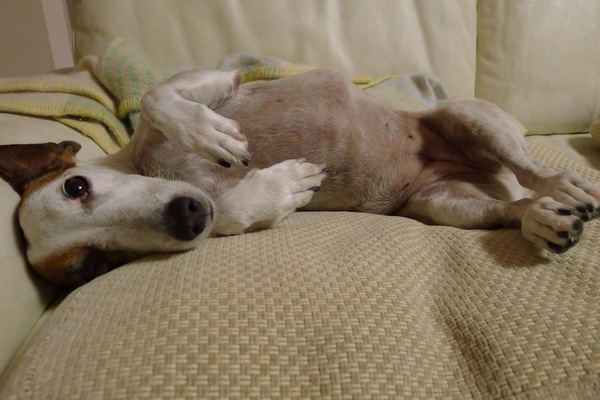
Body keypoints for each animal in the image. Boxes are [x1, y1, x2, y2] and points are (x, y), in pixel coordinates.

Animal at [1, 69, 599, 286]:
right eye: (92, 267)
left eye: (76, 186)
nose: (187, 217)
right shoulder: (215, 202)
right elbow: (233, 210)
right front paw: (280, 187)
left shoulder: (216, 80)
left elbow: (157, 97)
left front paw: (211, 136)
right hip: (444, 204)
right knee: (509, 207)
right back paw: (543, 219)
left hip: (472, 121)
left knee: (532, 168)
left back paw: (567, 187)